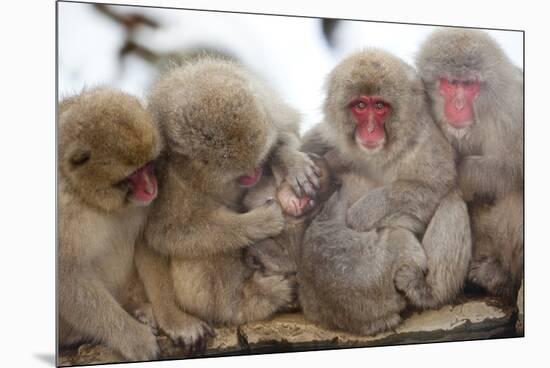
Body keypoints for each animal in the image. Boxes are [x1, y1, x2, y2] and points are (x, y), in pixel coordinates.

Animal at [60, 87, 165, 360]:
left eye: (148, 166)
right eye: (133, 175)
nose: (151, 188)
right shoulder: (64, 210)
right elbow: (67, 273)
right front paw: (133, 338)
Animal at [135, 57, 322, 354]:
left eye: (258, 161)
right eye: (240, 173)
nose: (255, 173)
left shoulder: (269, 107)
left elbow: (287, 130)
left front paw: (288, 160)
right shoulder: (167, 175)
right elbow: (167, 233)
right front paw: (260, 222)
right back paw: (250, 300)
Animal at [300, 49, 472, 334]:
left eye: (380, 106)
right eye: (360, 106)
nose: (370, 130)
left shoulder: (423, 140)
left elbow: (437, 186)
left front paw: (363, 213)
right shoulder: (329, 134)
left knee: (451, 200)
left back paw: (429, 292)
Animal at [418, 29, 528, 302]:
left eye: (468, 85)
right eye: (450, 83)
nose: (458, 106)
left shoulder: (512, 110)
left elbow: (512, 167)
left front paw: (462, 175)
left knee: (512, 190)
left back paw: (502, 278)